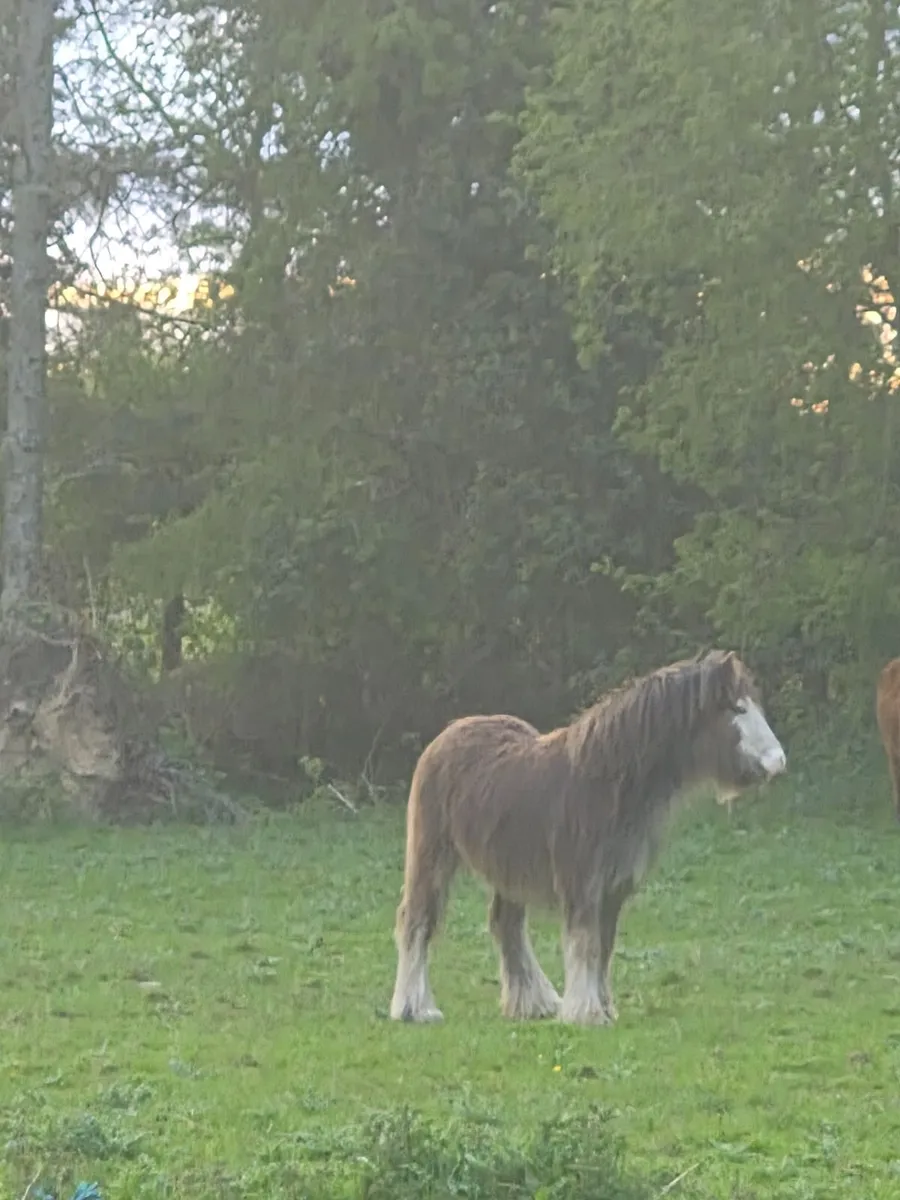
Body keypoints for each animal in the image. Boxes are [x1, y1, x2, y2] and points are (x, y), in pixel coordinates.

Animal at [389, 648, 787, 1027]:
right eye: (736, 708)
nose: (777, 762)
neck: (608, 783)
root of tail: (449, 732)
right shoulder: (581, 884)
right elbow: (584, 944)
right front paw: (586, 1012)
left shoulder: (613, 887)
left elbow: (603, 948)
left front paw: (604, 1008)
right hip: (432, 854)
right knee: (417, 922)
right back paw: (414, 1008)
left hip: (508, 868)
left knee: (507, 925)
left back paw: (532, 1003)